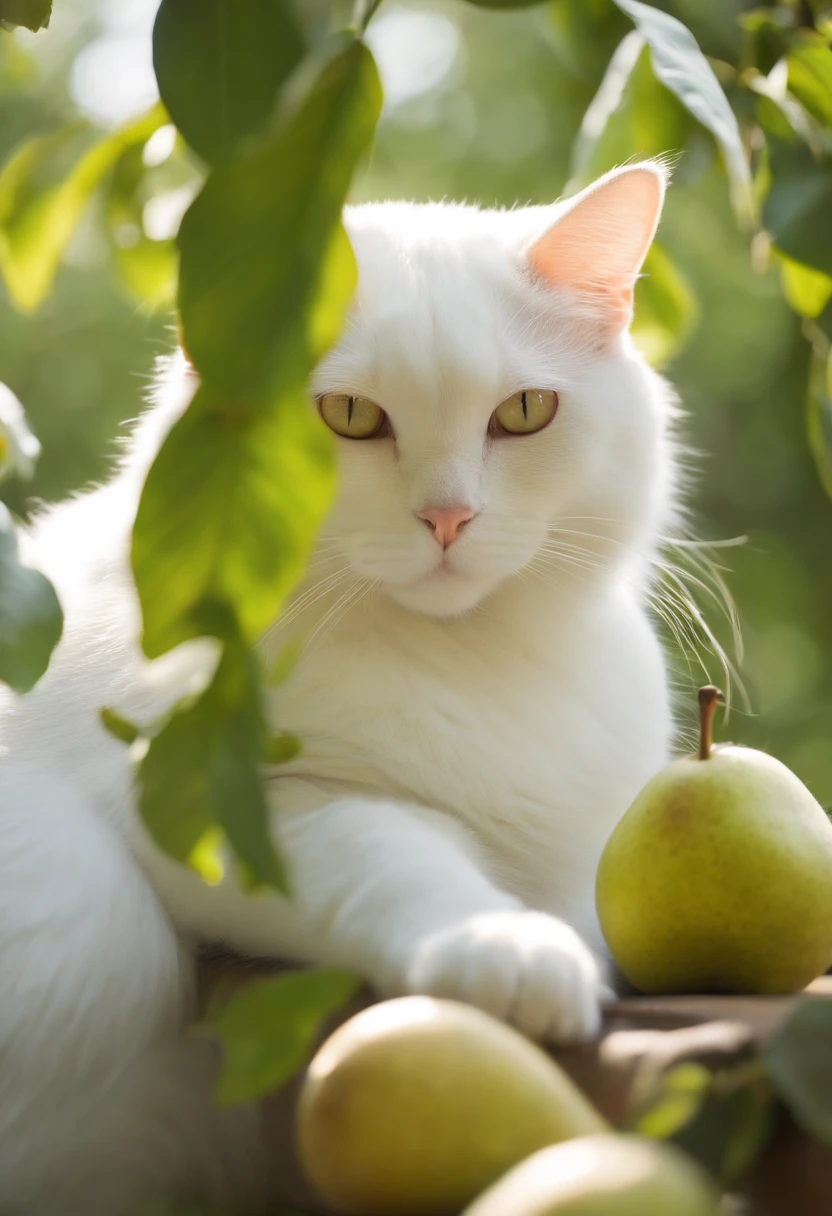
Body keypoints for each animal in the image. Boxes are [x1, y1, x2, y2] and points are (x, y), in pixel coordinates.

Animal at [0, 164, 676, 1216]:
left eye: (524, 412)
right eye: (351, 418)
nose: (448, 517)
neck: (469, 670)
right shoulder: (228, 811)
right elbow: (395, 852)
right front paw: (507, 951)